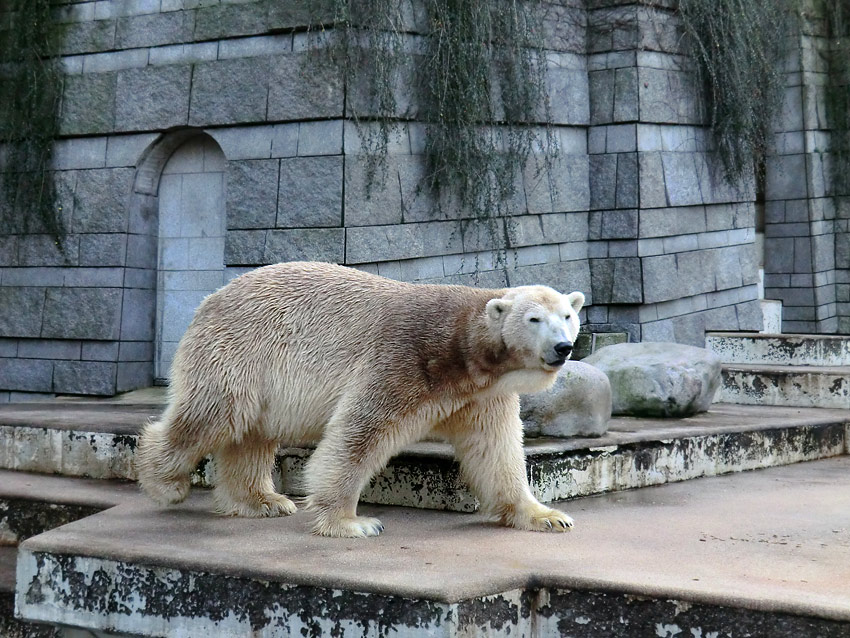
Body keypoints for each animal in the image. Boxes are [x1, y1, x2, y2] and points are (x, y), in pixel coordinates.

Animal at [137, 262, 584, 536]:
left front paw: (547, 516)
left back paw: (261, 500)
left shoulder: (482, 395)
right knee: (214, 415)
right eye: (534, 319)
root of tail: (209, 300)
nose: (562, 347)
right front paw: (354, 523)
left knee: (250, 434)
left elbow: (496, 450)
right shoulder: (403, 361)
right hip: (238, 351)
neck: (460, 348)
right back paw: (165, 482)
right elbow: (359, 434)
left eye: (567, 315)